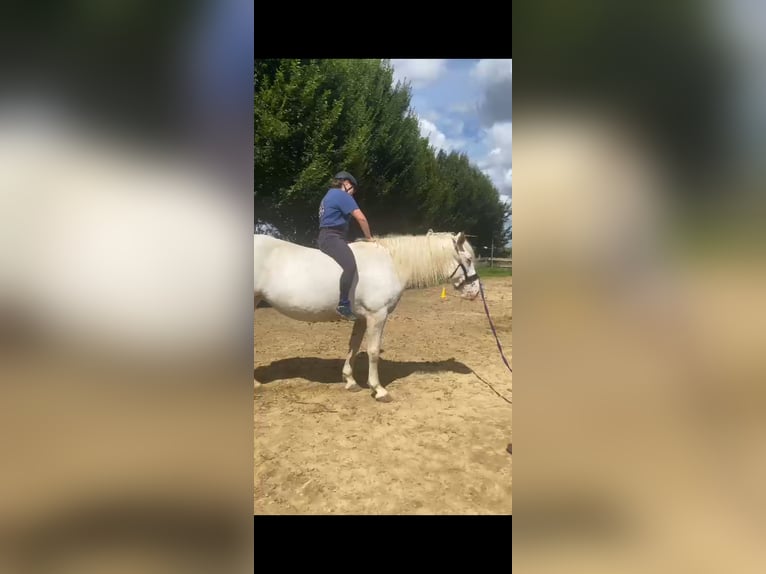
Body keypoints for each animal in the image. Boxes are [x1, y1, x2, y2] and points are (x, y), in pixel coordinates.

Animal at [254, 230, 480, 400]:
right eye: (468, 259)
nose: (476, 292)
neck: (390, 263)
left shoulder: (362, 319)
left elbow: (353, 346)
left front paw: (350, 381)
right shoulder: (377, 315)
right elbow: (372, 351)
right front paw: (378, 389)